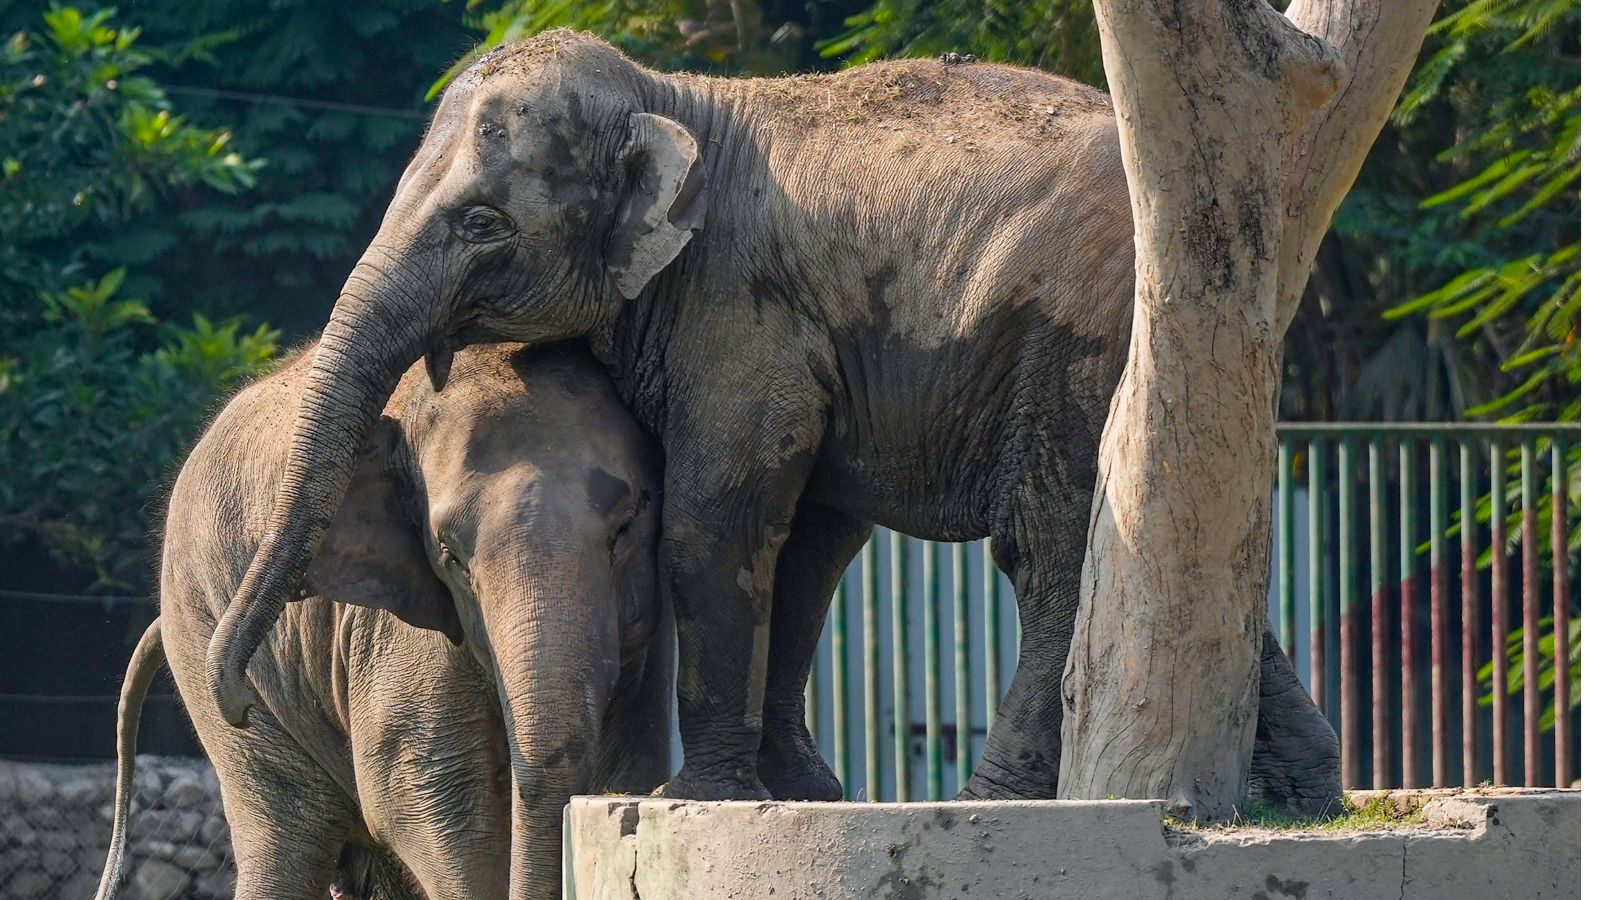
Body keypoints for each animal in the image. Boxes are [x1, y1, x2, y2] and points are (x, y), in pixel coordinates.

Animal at [96, 342, 670, 900]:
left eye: (627, 525)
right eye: (450, 556)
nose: (236, 702)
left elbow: (632, 758)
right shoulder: (395, 632)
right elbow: (427, 794)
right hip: (201, 634)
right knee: (289, 839)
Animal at [204, 30, 1342, 807]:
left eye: (482, 223)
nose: (240, 705)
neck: (671, 99)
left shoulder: (739, 315)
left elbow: (720, 522)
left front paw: (696, 798)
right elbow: (809, 543)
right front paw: (802, 792)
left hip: (1084, 339)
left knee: (1055, 550)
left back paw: (995, 800)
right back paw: (1302, 798)